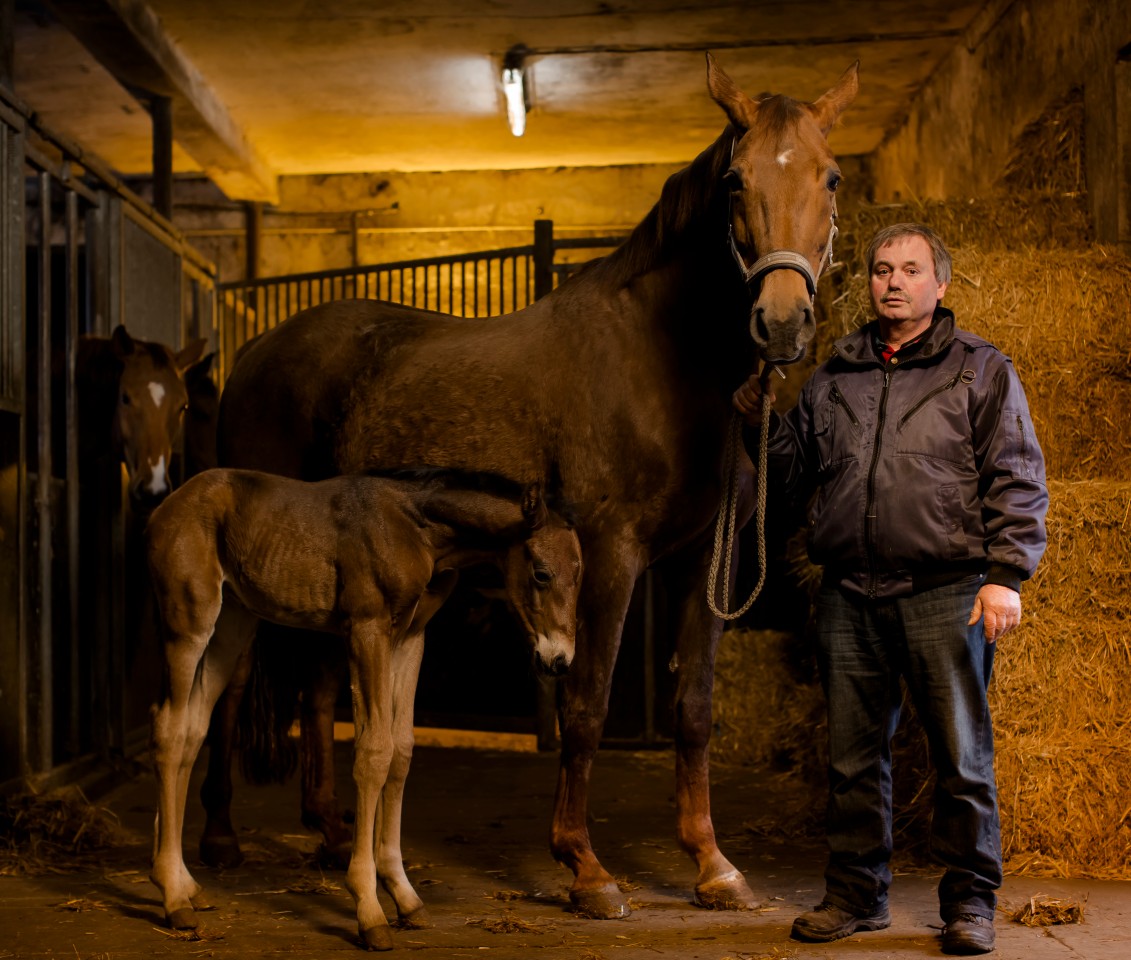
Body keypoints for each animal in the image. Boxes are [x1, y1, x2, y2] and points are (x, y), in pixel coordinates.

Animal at [147, 465, 583, 949]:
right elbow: (374, 752)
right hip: (189, 621)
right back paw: (173, 898)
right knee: (169, 728)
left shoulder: (410, 636)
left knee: (192, 728)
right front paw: (369, 907)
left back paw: (184, 884)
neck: (418, 528)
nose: (560, 660)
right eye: (541, 573)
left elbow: (402, 750)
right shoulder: (366, 629)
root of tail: (165, 508)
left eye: (580, 574)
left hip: (232, 625)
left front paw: (404, 895)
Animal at [203, 54, 855, 922]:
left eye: (830, 177)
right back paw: (220, 839)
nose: (780, 324)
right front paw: (585, 867)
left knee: (312, 688)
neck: (663, 363)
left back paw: (334, 835)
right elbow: (585, 703)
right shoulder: (609, 554)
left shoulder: (701, 562)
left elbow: (694, 711)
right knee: (234, 681)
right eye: (734, 181)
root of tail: (252, 353)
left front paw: (712, 865)